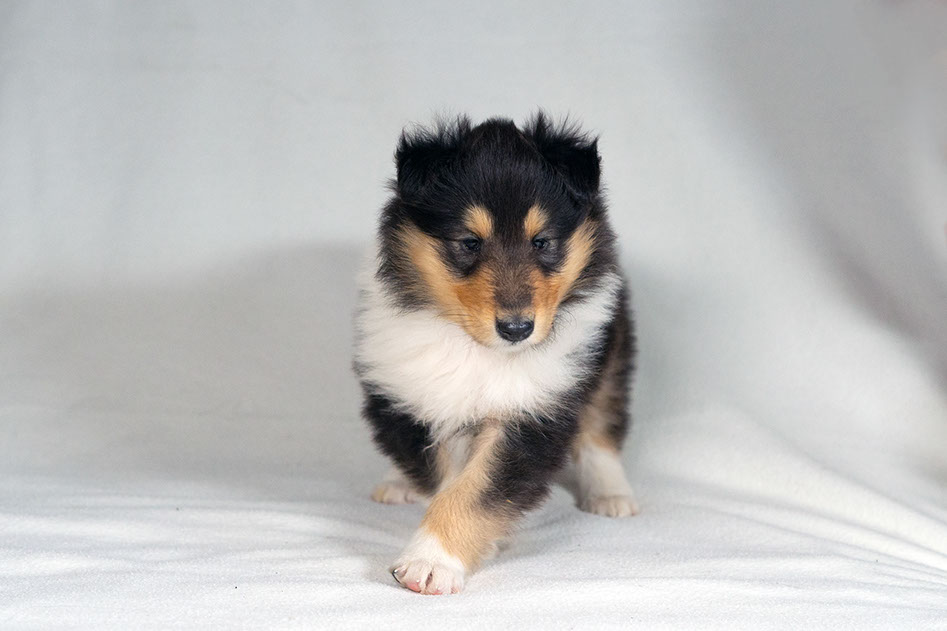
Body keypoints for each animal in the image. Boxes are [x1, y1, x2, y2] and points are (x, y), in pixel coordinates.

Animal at [353, 112, 638, 595]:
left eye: (542, 241)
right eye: (469, 242)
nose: (517, 329)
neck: (478, 348)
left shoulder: (535, 411)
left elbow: (476, 488)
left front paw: (431, 563)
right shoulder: (404, 394)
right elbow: (448, 477)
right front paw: (451, 550)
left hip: (611, 344)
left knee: (602, 419)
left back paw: (611, 493)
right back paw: (396, 483)